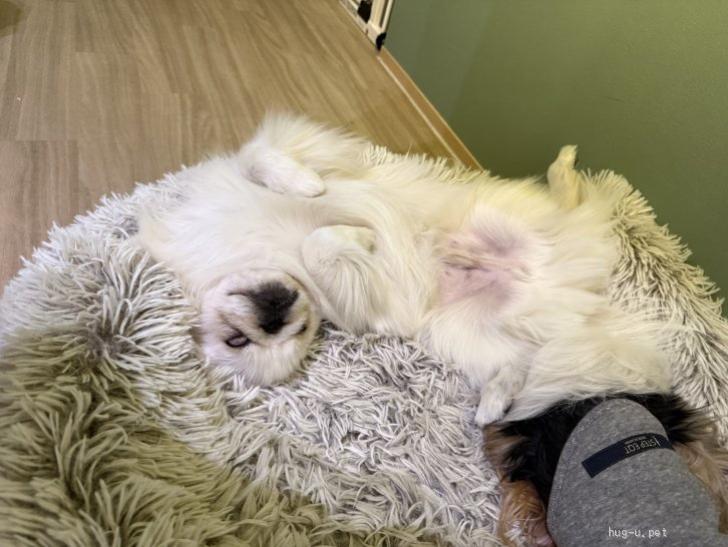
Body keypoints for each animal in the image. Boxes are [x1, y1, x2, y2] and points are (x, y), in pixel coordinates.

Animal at [138, 114, 671, 425]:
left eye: (235, 339)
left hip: (498, 219)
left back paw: (564, 164)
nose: (276, 317)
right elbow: (322, 245)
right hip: (466, 330)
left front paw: (307, 187)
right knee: (519, 362)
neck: (266, 251)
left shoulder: (280, 159)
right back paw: (493, 404)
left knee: (574, 200)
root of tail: (575, 297)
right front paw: (357, 238)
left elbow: (262, 161)